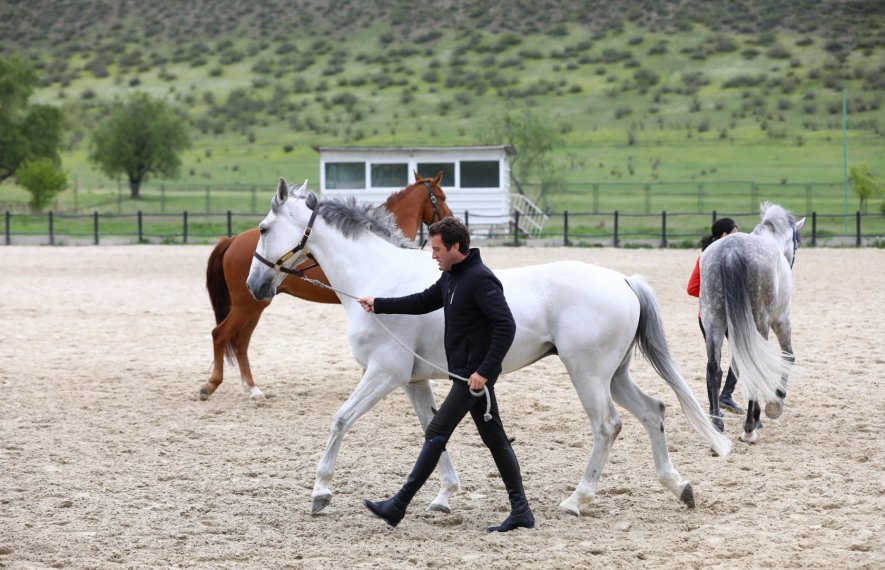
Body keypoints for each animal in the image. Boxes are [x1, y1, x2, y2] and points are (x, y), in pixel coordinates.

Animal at [200, 171, 448, 398]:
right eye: (441, 197)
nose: (448, 221)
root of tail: (231, 240)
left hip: (255, 305)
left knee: (240, 342)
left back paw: (251, 388)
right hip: (247, 305)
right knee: (220, 334)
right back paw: (213, 385)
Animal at [245, 179, 728, 516]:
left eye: (265, 228)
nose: (255, 286)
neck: (379, 277)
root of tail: (623, 280)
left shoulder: (384, 372)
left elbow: (341, 419)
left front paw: (320, 492)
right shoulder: (414, 381)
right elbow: (432, 431)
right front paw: (444, 496)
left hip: (588, 374)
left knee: (607, 426)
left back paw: (577, 500)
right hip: (616, 375)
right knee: (653, 411)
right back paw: (679, 486)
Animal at [700, 203, 804, 444]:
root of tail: (731, 249)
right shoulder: (782, 319)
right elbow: (788, 356)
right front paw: (776, 399)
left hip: (714, 320)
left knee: (714, 368)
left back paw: (717, 424)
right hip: (759, 322)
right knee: (753, 362)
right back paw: (750, 426)